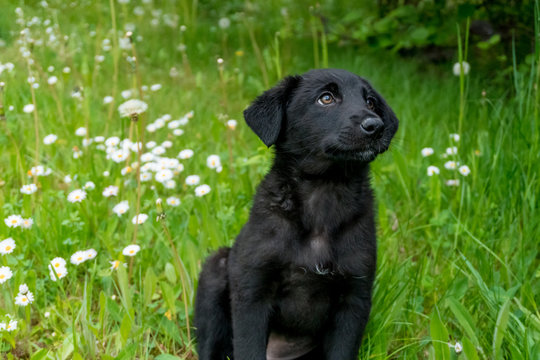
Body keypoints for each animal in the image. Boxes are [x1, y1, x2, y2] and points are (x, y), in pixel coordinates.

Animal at [194, 69, 396, 358]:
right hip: (215, 270)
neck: (324, 192)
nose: (375, 126)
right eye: (326, 98)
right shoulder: (253, 291)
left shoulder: (354, 297)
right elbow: (249, 348)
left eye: (370, 102)